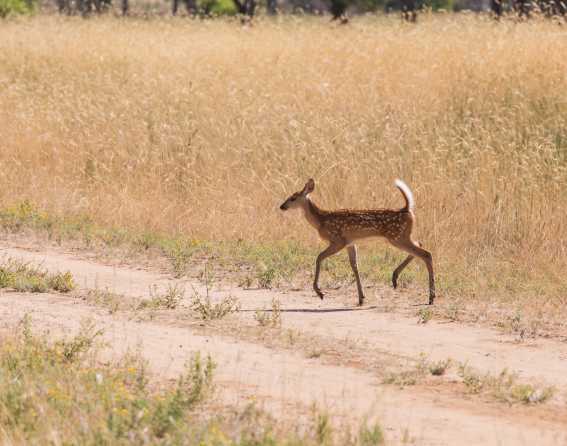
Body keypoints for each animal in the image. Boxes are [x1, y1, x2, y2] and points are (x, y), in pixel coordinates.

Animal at [278, 179, 434, 306]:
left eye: (293, 198)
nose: (282, 206)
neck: (321, 220)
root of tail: (406, 209)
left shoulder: (338, 240)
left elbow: (319, 257)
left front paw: (319, 292)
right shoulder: (350, 243)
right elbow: (355, 266)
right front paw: (361, 298)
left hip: (397, 237)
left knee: (426, 253)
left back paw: (431, 297)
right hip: (402, 237)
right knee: (420, 244)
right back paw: (395, 278)